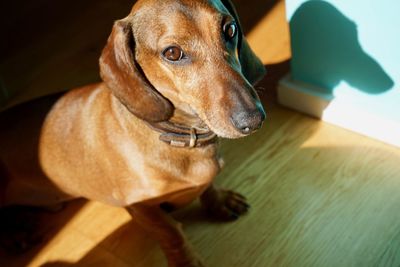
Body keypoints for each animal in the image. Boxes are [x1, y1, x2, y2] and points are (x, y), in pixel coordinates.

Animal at [0, 0, 266, 266]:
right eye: (172, 53)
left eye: (229, 29)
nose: (253, 120)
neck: (175, 136)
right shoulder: (141, 208)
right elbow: (171, 233)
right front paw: (186, 261)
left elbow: (208, 187)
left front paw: (220, 201)